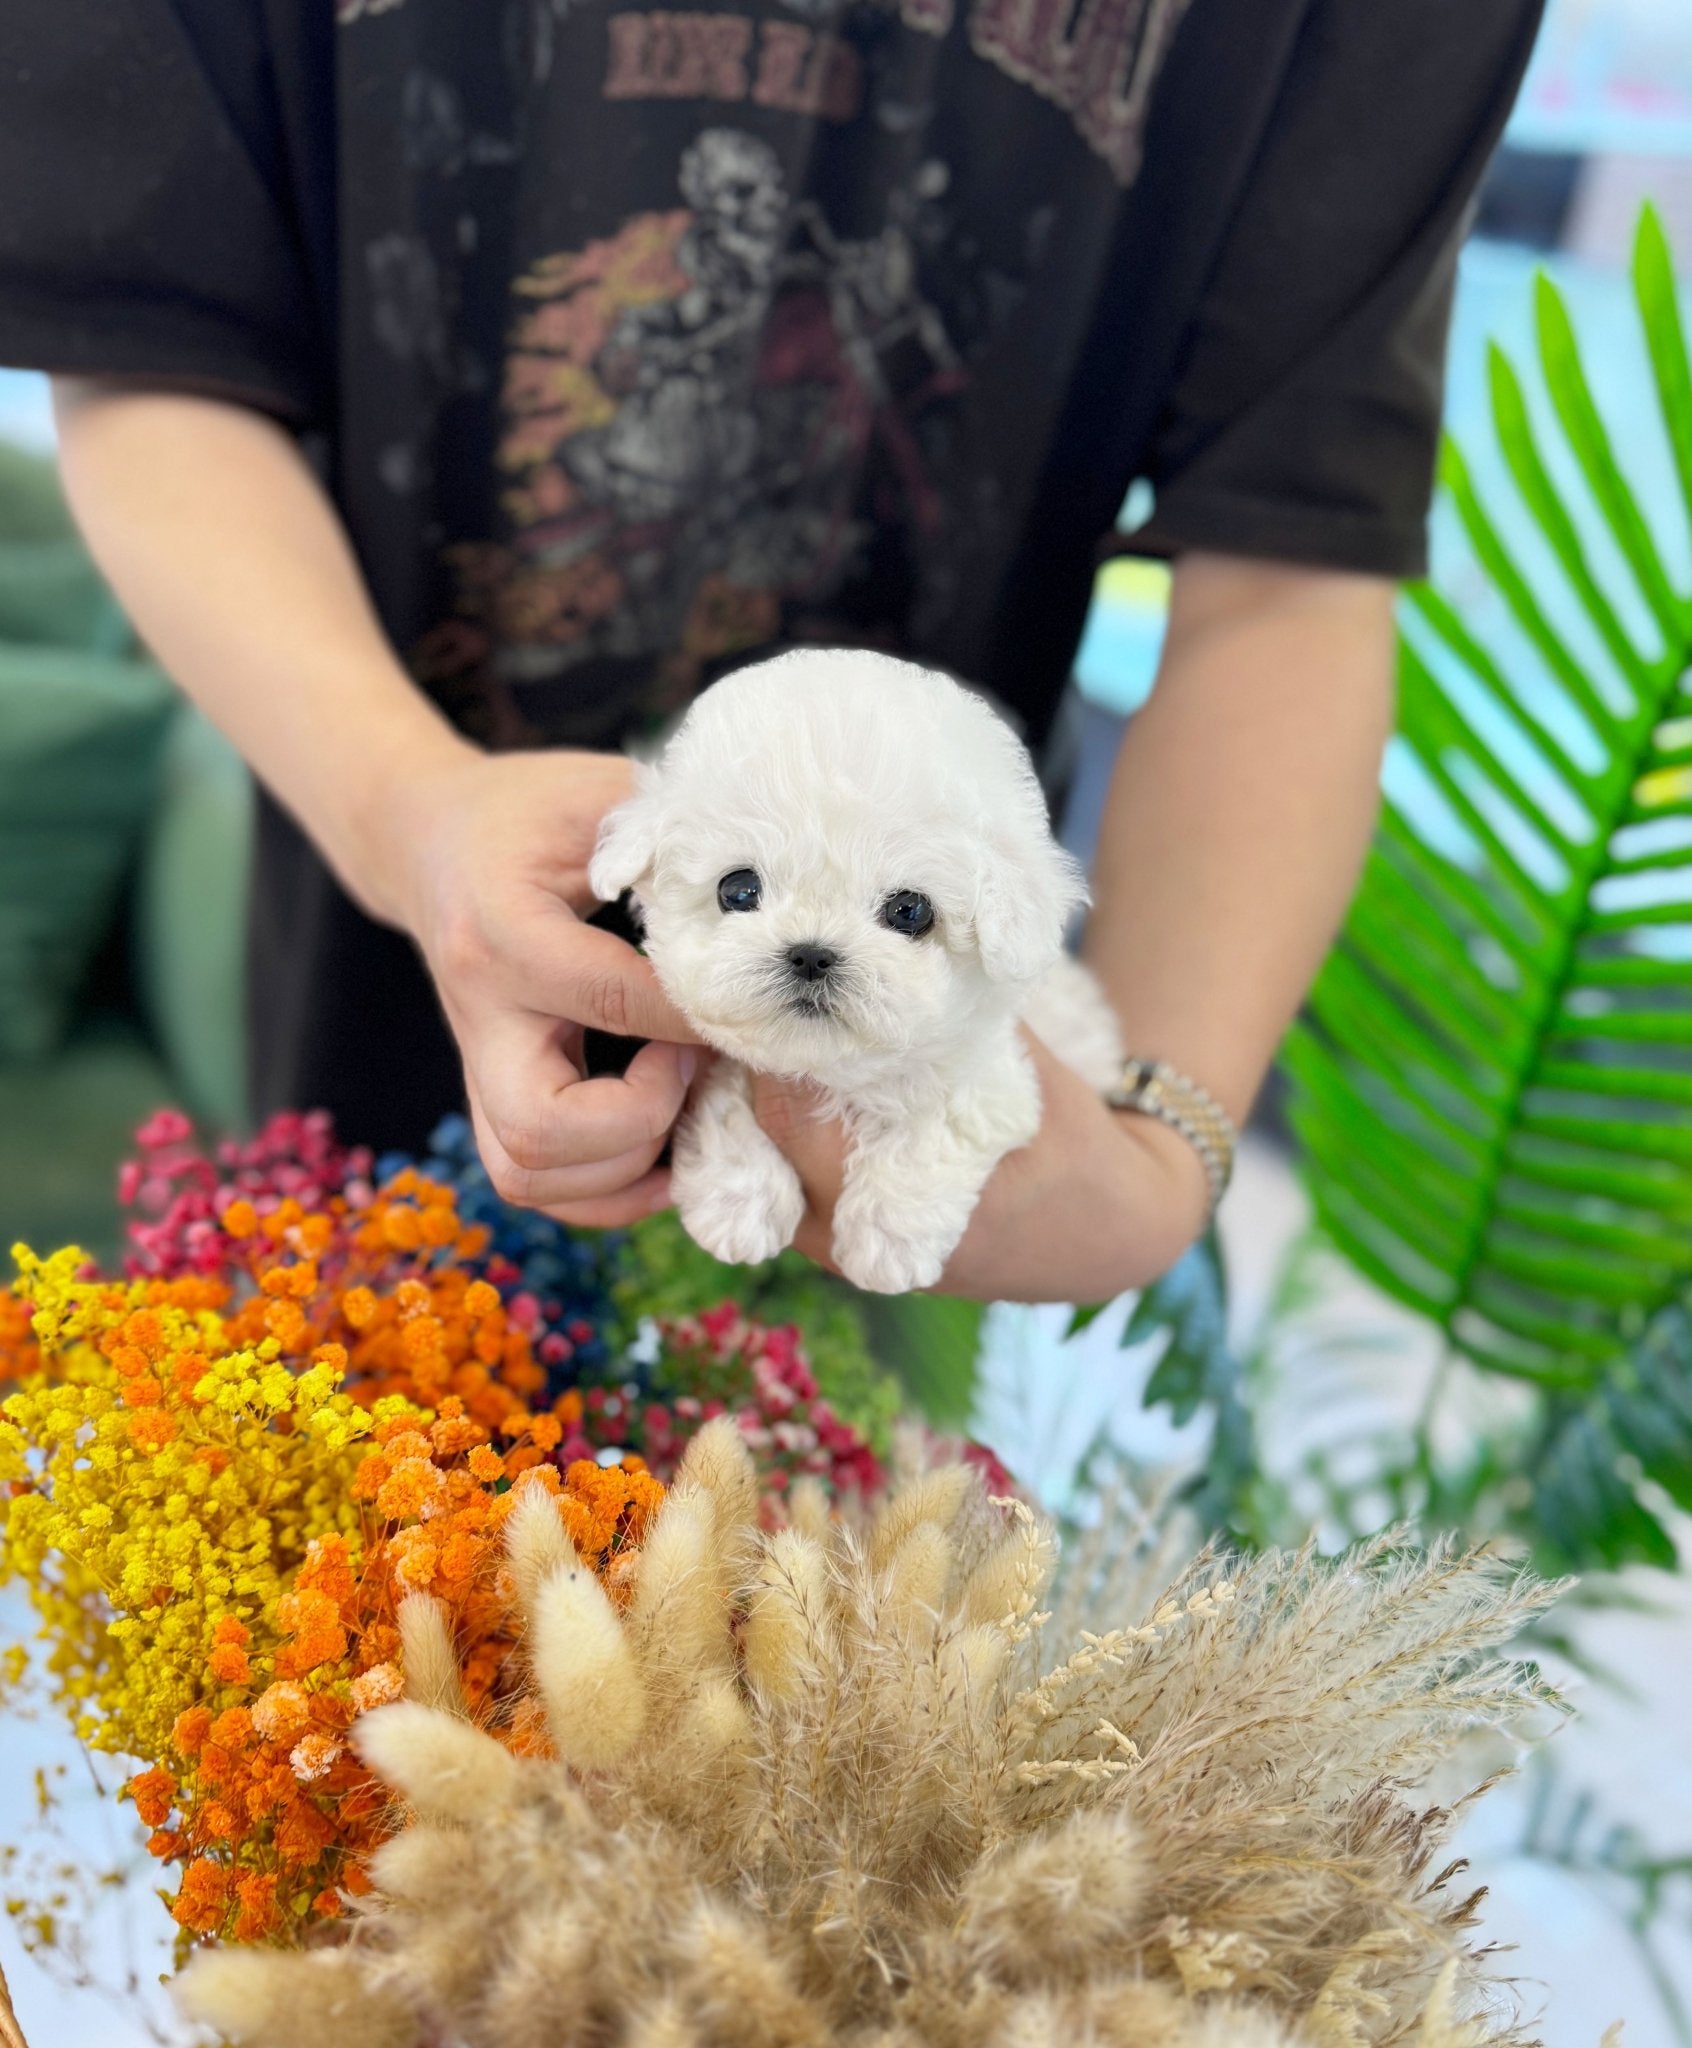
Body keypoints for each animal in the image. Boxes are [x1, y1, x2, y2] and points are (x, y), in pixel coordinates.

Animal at [589, 651, 1122, 1294]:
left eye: (910, 911)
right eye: (737, 889)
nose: (811, 954)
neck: (835, 1072)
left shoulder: (996, 1080)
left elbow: (940, 1118)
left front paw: (889, 1240)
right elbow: (727, 1095)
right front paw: (739, 1203)